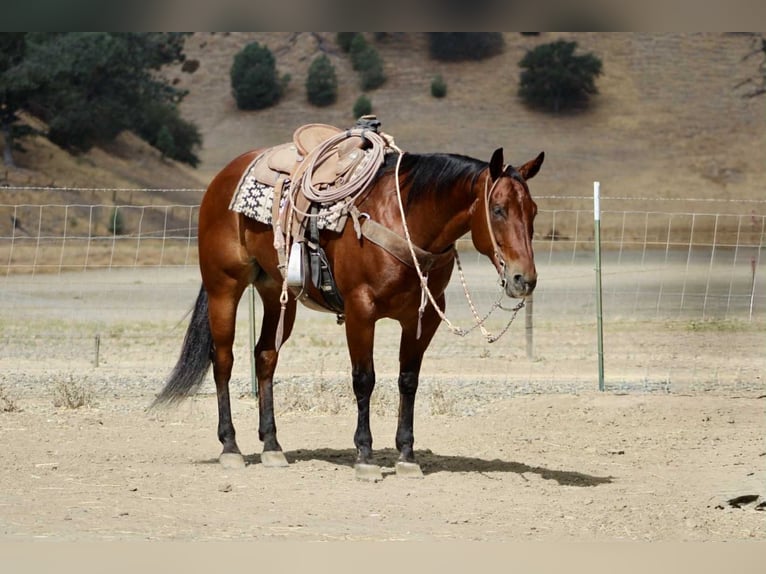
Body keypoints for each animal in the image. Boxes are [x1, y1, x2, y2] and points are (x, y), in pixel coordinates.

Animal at [153, 141, 543, 480]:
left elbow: (408, 380)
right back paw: (231, 447)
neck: (404, 220)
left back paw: (272, 446)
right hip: (225, 287)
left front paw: (406, 455)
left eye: (533, 211)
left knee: (265, 357)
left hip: (276, 294)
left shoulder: (424, 318)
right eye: (498, 209)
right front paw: (365, 456)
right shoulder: (360, 311)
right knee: (223, 360)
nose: (523, 279)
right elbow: (364, 379)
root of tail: (223, 177)